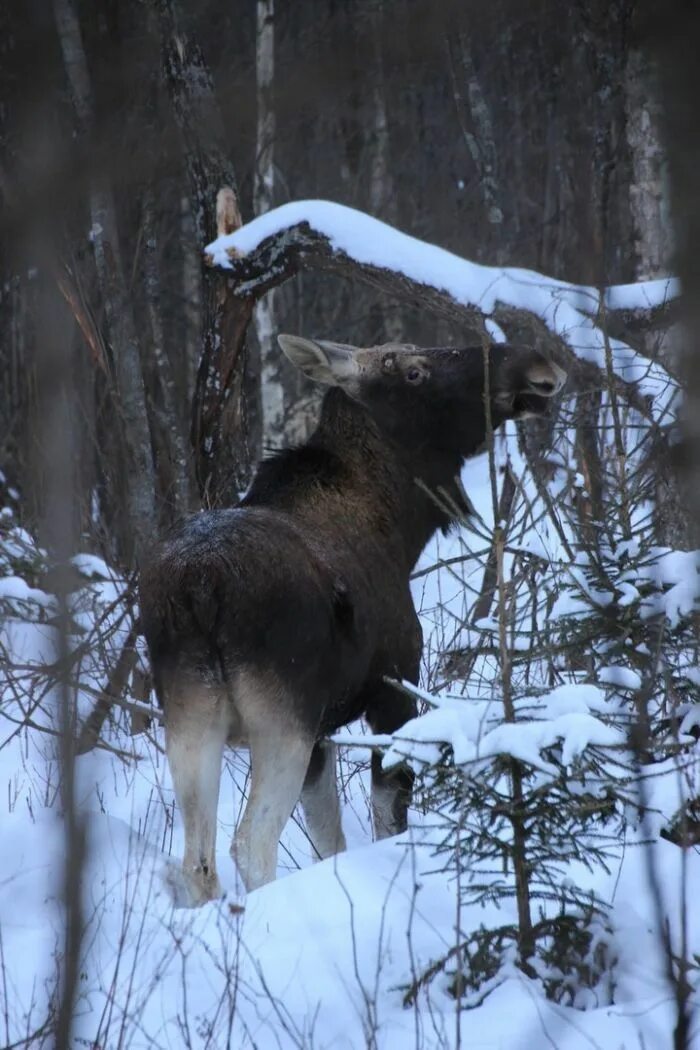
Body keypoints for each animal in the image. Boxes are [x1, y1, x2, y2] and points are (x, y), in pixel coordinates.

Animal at [139, 336, 566, 902]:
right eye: (414, 371)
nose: (536, 366)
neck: (399, 527)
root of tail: (199, 588)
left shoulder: (323, 734)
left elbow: (329, 839)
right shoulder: (394, 690)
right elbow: (388, 816)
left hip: (190, 715)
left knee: (197, 862)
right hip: (280, 721)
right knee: (250, 845)